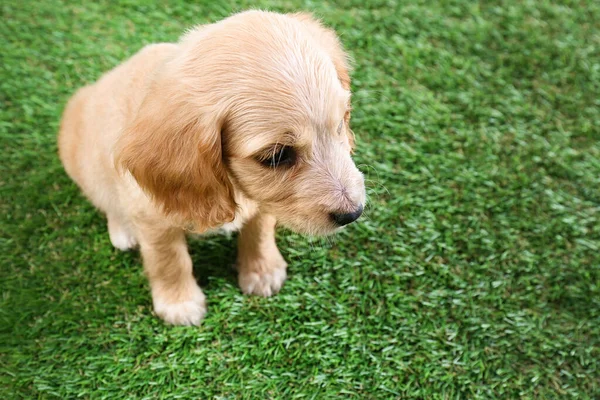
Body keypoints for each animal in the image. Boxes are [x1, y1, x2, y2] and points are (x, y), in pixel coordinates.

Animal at [57, 10, 366, 324]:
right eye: (276, 156)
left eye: (341, 124)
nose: (353, 213)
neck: (229, 184)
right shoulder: (151, 216)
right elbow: (168, 259)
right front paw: (179, 303)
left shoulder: (264, 197)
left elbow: (259, 229)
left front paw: (262, 270)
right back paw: (123, 230)